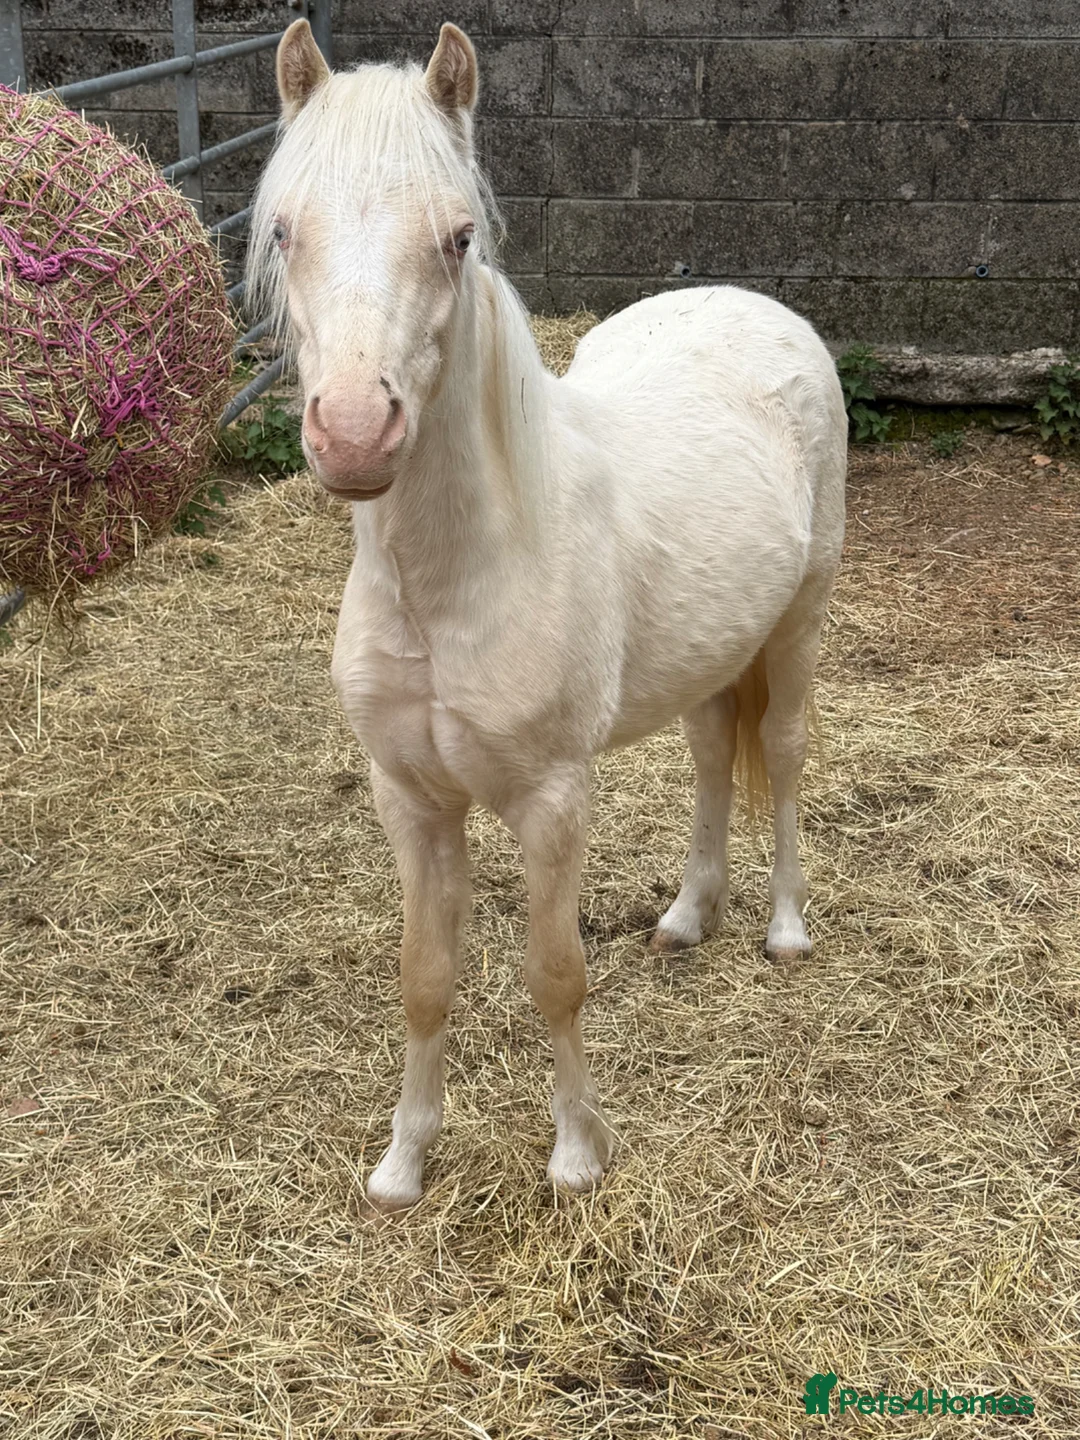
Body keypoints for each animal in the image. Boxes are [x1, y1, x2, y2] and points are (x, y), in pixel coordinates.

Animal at [250, 20, 847, 1212]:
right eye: (285, 229)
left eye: (457, 237)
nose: (353, 434)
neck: (455, 582)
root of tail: (756, 305)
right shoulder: (412, 802)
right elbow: (425, 978)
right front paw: (403, 1165)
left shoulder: (551, 801)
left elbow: (555, 976)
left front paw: (576, 1157)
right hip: (712, 656)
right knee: (713, 757)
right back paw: (687, 917)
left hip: (797, 626)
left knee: (785, 755)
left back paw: (783, 929)